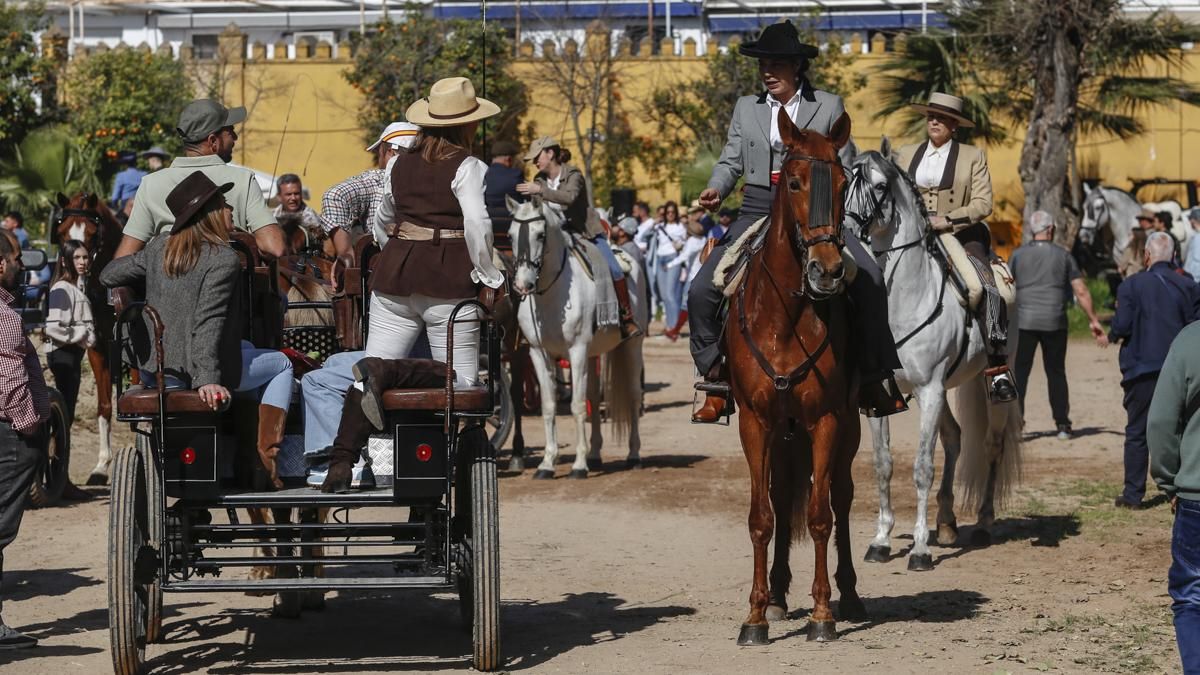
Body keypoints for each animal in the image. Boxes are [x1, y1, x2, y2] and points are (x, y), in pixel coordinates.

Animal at [505, 195, 646, 479]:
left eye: (540, 235)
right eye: (510, 235)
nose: (522, 285)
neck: (551, 295)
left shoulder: (577, 350)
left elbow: (577, 406)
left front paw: (578, 465)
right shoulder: (539, 353)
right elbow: (550, 406)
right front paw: (547, 464)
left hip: (632, 346)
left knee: (634, 395)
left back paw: (633, 455)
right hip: (593, 354)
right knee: (593, 396)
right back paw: (595, 455)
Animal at [726, 110, 863, 646]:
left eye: (845, 184)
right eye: (796, 182)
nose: (826, 271)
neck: (785, 317)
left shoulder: (826, 420)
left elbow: (821, 515)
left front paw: (823, 613)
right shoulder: (755, 422)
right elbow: (761, 518)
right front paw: (755, 615)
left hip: (847, 429)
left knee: (841, 497)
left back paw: (849, 594)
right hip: (784, 436)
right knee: (782, 499)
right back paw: (780, 596)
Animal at [844, 144, 1023, 572]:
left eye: (879, 186)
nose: (844, 232)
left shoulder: (928, 389)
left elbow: (922, 467)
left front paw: (920, 551)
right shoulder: (881, 395)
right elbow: (883, 465)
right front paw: (881, 541)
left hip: (985, 386)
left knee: (991, 444)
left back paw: (982, 523)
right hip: (943, 393)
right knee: (955, 438)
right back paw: (946, 523)